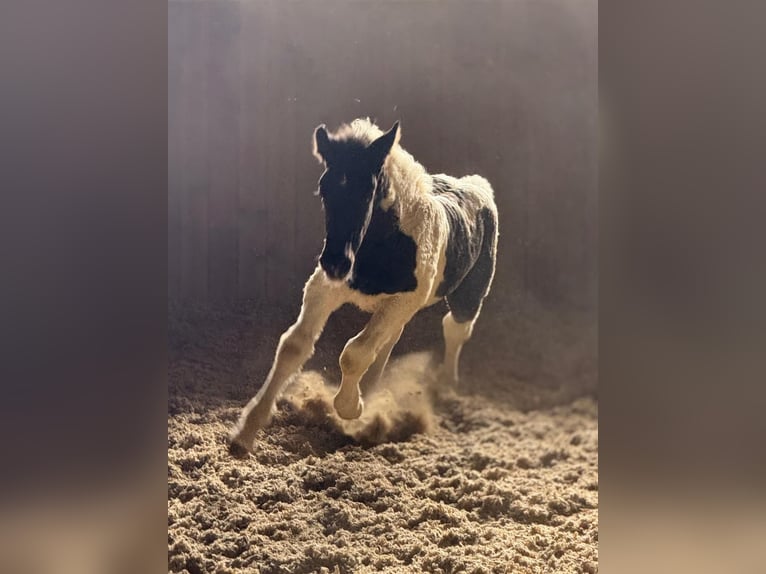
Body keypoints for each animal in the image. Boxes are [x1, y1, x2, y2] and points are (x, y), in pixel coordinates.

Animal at [230, 118, 498, 455]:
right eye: (324, 189)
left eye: (367, 192)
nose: (335, 263)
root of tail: (478, 186)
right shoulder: (324, 288)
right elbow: (294, 344)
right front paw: (246, 432)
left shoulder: (400, 301)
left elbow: (354, 353)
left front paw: (351, 407)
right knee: (391, 340)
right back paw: (371, 388)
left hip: (468, 295)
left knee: (455, 328)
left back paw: (446, 386)